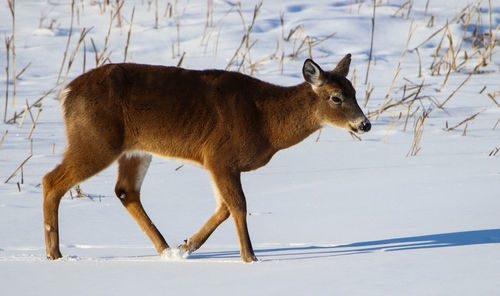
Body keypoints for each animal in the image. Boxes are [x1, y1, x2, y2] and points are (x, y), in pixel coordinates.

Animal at [43, 53, 370, 262]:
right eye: (336, 97)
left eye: (355, 91)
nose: (364, 124)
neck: (266, 121)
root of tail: (67, 93)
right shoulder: (220, 155)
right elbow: (238, 205)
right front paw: (250, 258)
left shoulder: (217, 162)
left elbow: (223, 208)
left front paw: (187, 245)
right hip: (96, 140)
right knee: (51, 180)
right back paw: (54, 253)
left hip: (135, 149)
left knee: (125, 191)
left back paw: (166, 250)